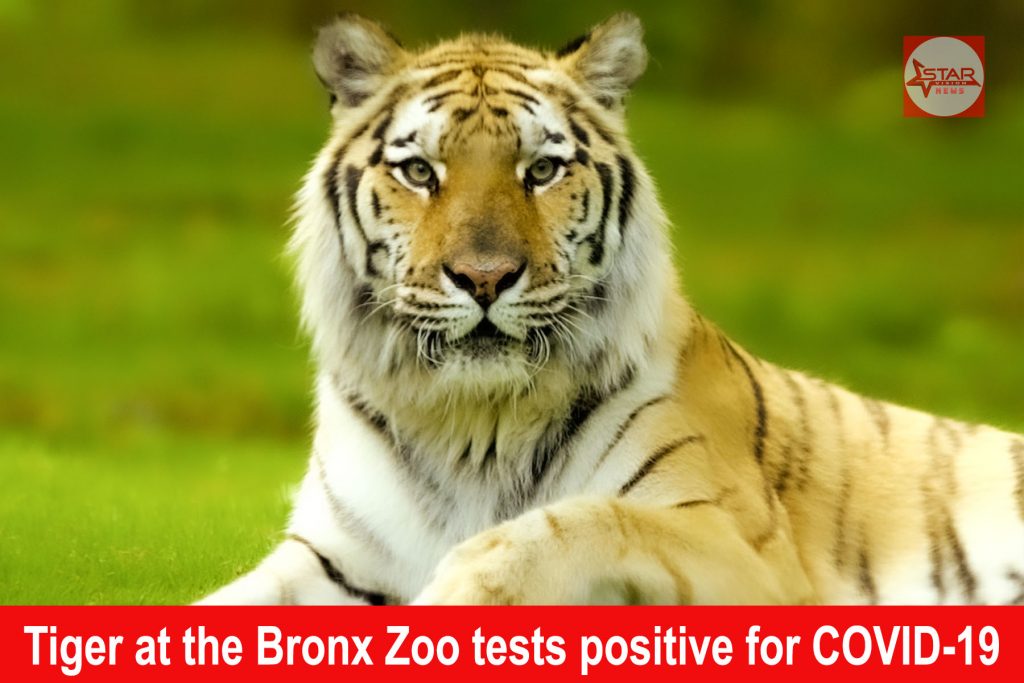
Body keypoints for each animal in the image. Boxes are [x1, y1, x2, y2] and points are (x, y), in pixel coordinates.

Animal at [197, 13, 1024, 606]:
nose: (484, 277)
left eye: (541, 170)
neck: (472, 425)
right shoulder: (332, 556)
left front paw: (458, 582)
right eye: (420, 172)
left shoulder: (747, 550)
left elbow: (586, 518)